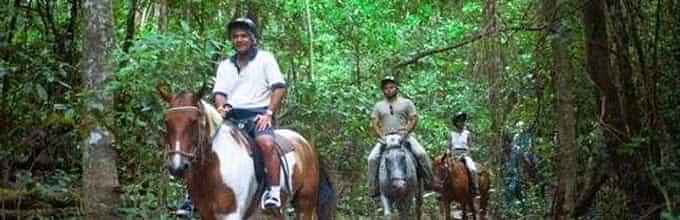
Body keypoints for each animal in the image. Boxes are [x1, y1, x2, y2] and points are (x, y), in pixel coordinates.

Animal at [157, 87, 338, 219]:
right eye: (167, 122)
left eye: (194, 122)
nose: (177, 167)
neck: (214, 169)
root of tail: (306, 144)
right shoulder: (207, 214)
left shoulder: (231, 214)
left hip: (305, 204)